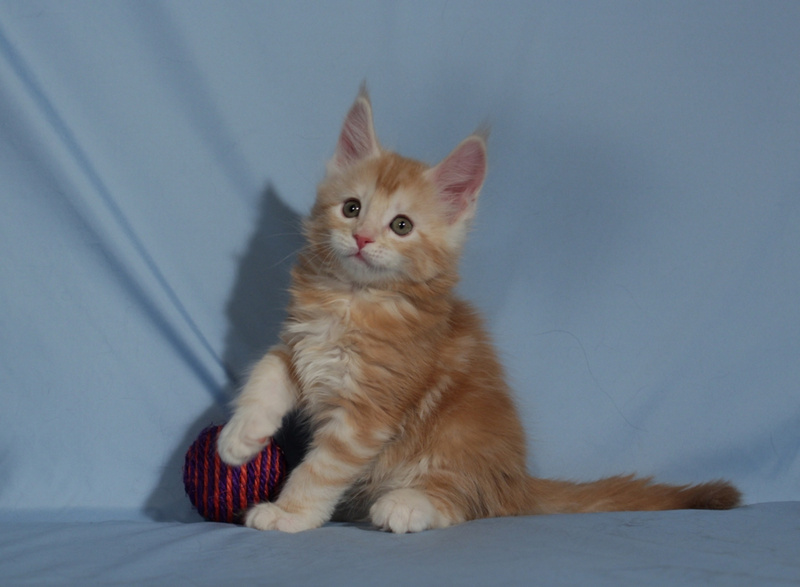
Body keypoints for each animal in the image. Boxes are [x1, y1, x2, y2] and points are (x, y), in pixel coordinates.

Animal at [217, 86, 741, 533]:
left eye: (401, 225)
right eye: (351, 208)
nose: (362, 238)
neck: (354, 298)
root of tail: (518, 479)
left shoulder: (369, 408)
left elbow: (321, 468)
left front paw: (289, 513)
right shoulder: (300, 346)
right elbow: (264, 373)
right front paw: (240, 437)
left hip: (456, 439)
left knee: (465, 503)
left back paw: (406, 505)